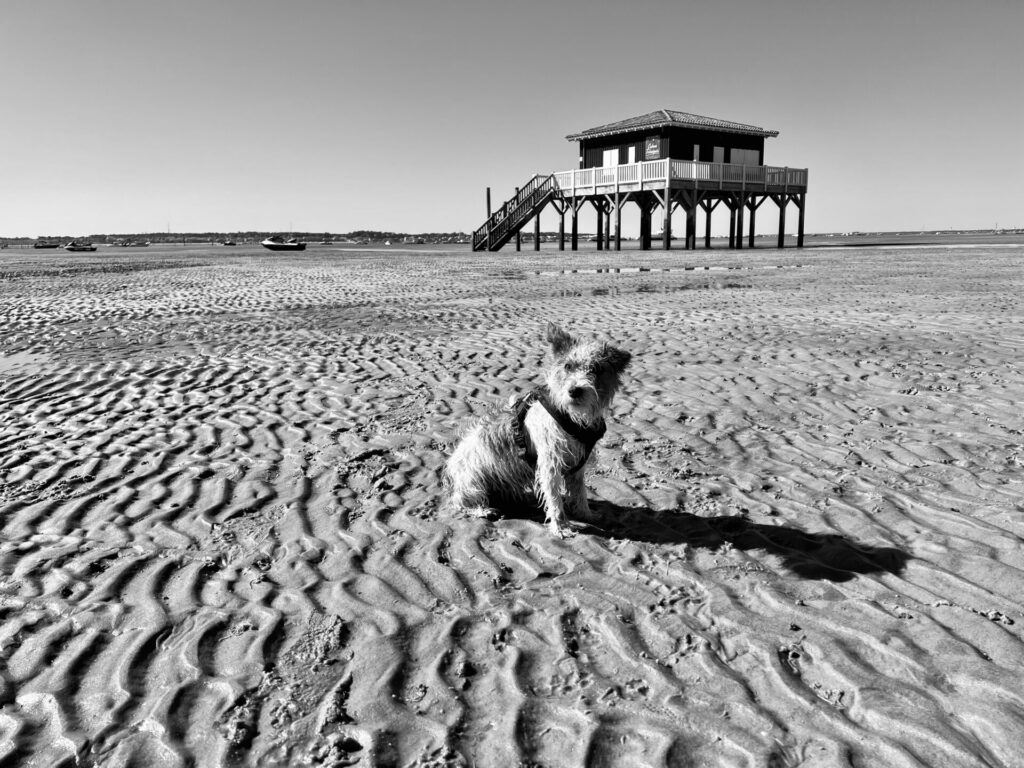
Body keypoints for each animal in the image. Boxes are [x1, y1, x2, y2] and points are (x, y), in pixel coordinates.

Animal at [442, 321, 626, 536]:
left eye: (596, 369)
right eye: (567, 366)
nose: (575, 390)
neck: (570, 416)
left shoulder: (577, 466)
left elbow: (580, 493)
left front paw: (586, 515)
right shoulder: (550, 463)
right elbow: (555, 499)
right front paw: (561, 527)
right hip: (472, 481)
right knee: (460, 503)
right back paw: (482, 510)